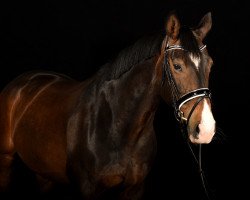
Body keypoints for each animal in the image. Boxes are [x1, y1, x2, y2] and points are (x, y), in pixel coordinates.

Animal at [0, 11, 215, 199]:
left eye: (210, 64)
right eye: (177, 66)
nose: (206, 128)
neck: (118, 127)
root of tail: (22, 81)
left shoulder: (134, 190)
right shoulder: (89, 190)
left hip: (43, 172)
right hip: (6, 159)